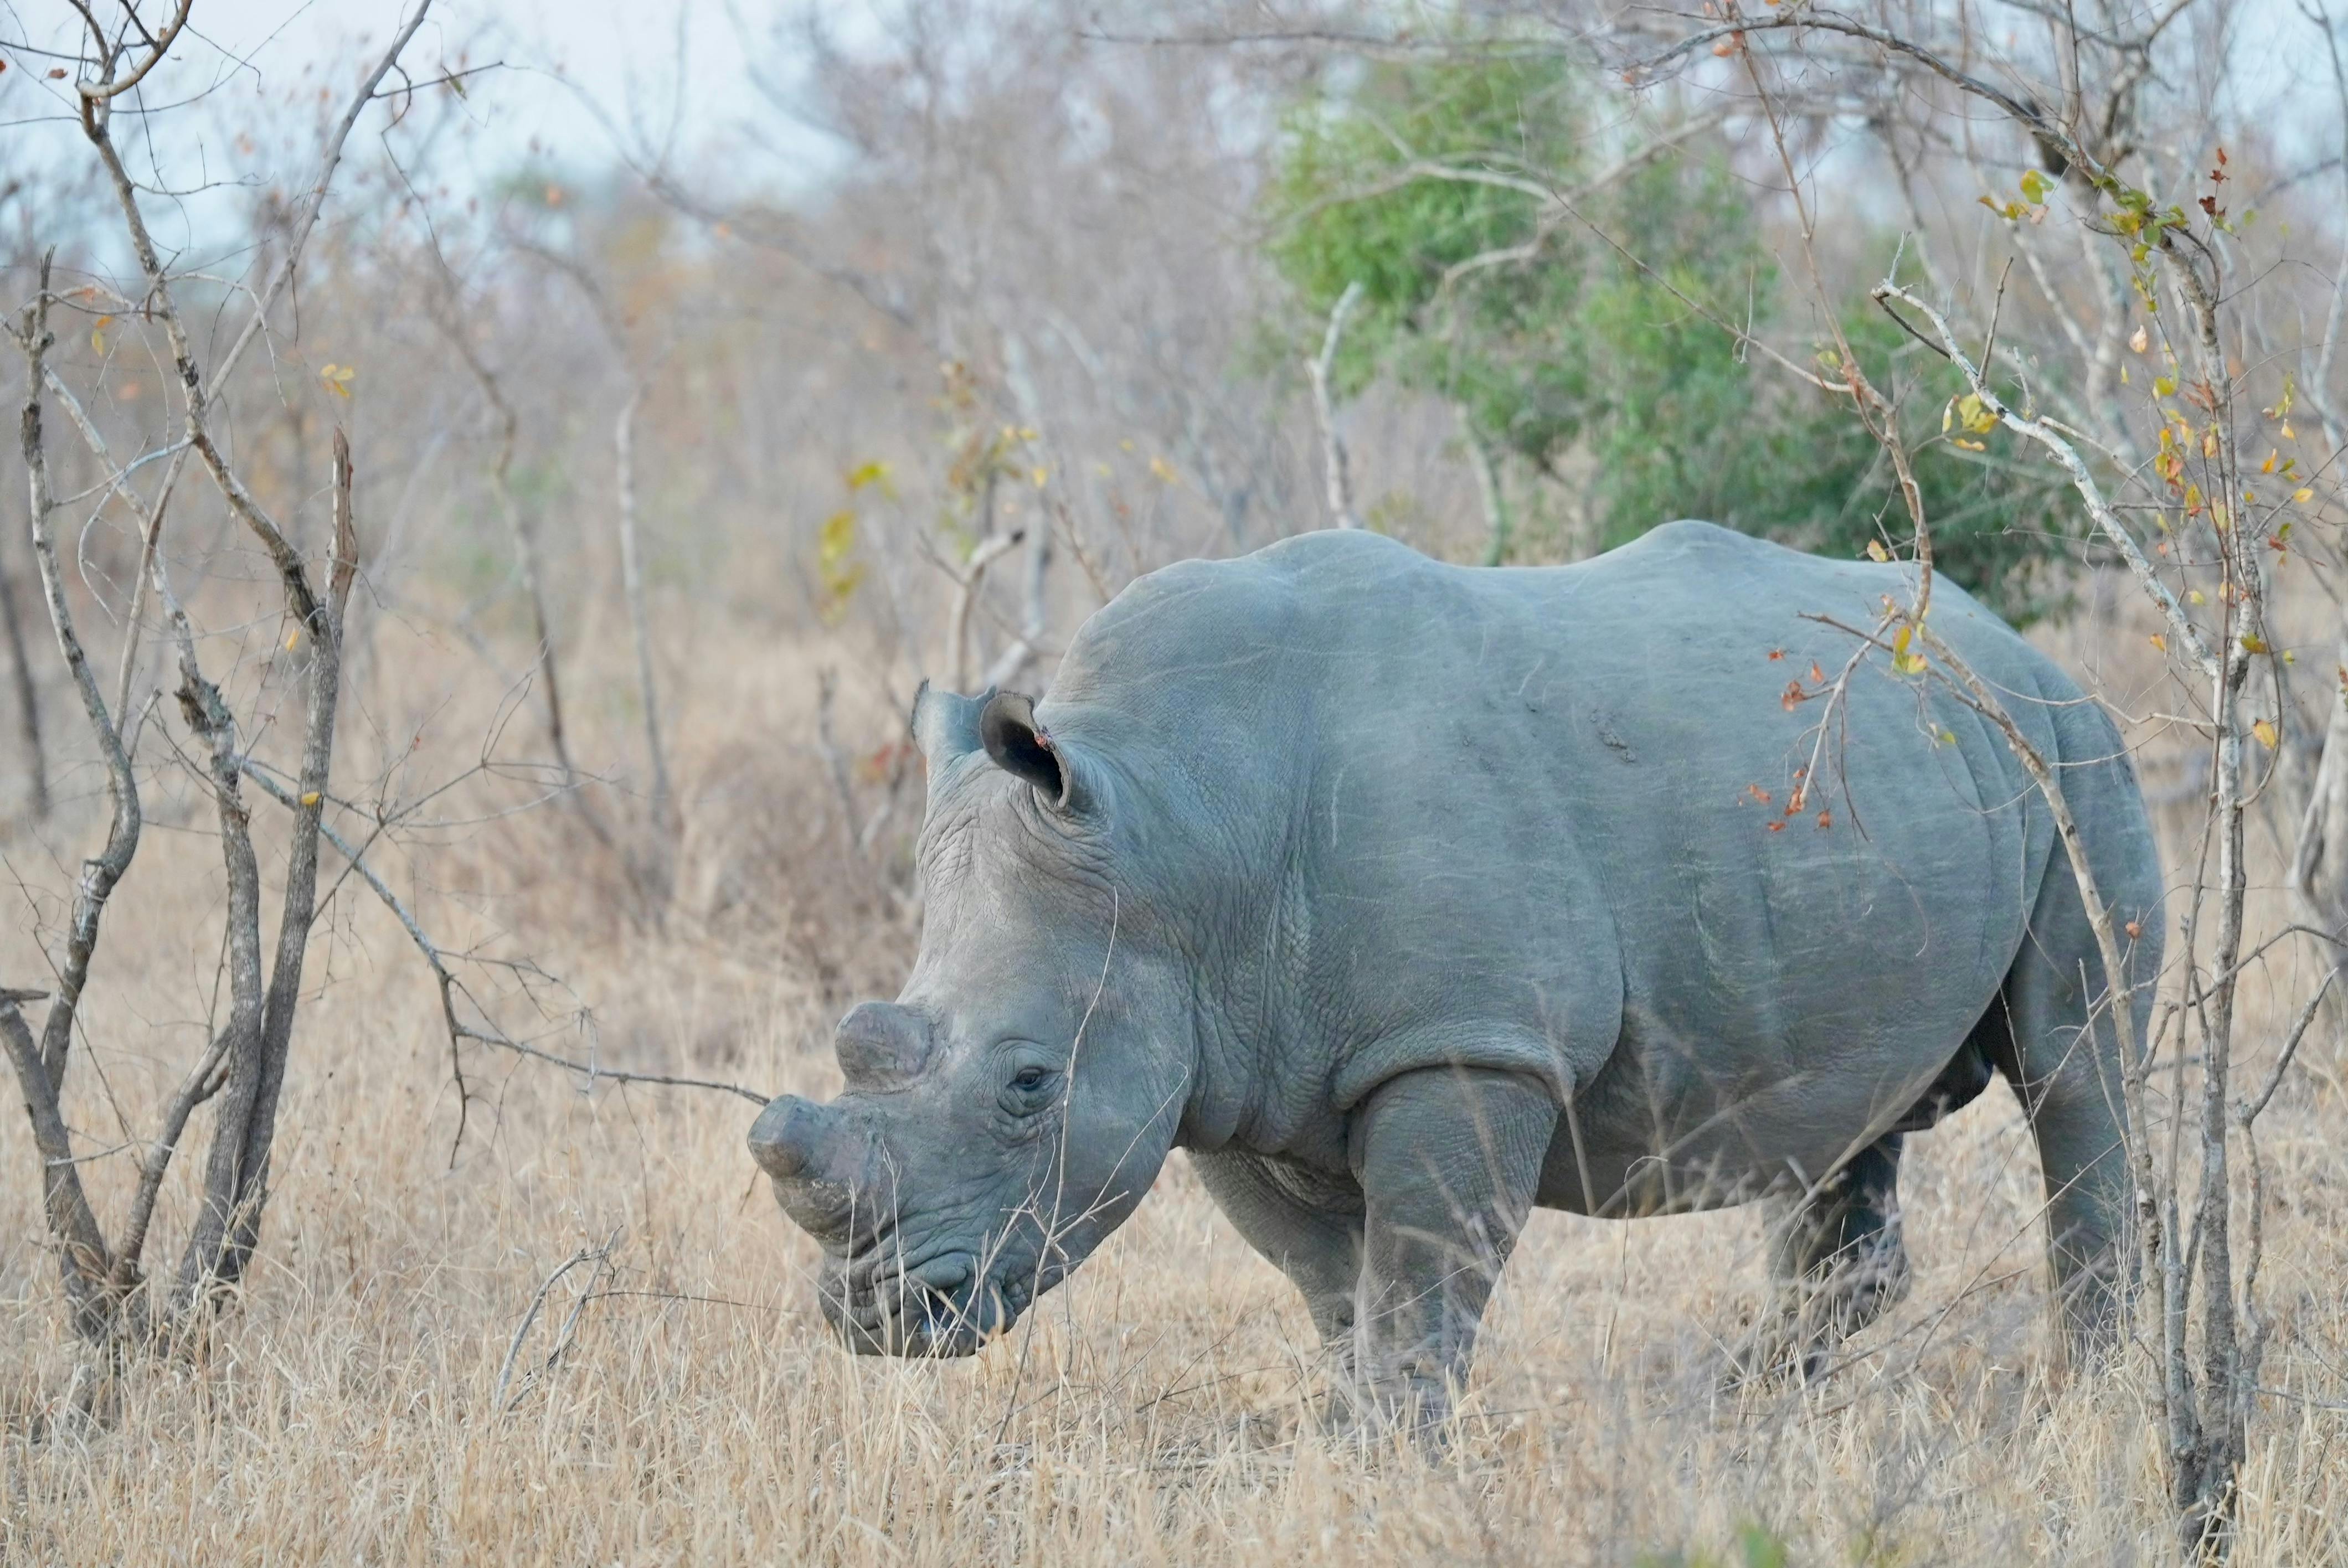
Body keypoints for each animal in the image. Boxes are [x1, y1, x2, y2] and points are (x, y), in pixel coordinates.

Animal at [748, 521, 2162, 1424]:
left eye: (1028, 1084)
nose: (874, 1314)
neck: (1173, 820)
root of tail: (2008, 644)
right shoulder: (1216, 1067)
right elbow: (1335, 1293)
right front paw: (1349, 1445)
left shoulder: (1465, 1043)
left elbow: (1421, 1287)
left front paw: (1399, 1460)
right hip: (1891, 789)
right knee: (1842, 1121)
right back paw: (1737, 1427)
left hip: (2073, 758)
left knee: (2075, 1069)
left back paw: (2074, 1415)